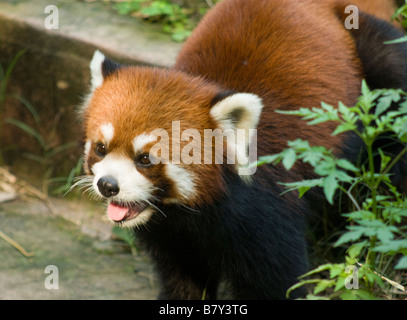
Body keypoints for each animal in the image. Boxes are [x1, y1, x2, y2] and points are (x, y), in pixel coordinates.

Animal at [80, 0, 407, 300]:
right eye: (101, 148)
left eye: (145, 159)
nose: (107, 185)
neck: (190, 213)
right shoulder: (175, 238)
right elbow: (184, 279)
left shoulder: (265, 209)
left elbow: (274, 283)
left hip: (370, 48)